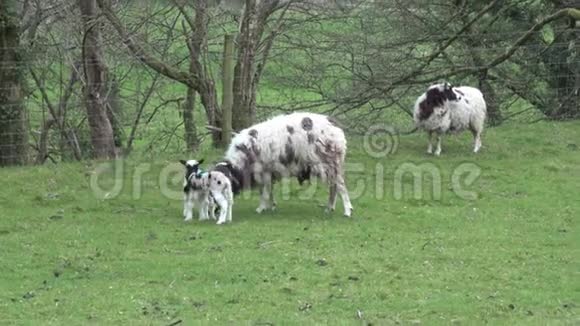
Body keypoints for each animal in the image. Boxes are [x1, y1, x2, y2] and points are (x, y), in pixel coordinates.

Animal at [211, 111, 352, 216]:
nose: (216, 211)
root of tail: (335, 127)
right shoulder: (269, 172)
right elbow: (269, 190)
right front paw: (271, 206)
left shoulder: (264, 171)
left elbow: (264, 191)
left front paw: (261, 208)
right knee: (334, 187)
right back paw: (329, 208)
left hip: (331, 163)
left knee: (340, 186)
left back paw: (347, 211)